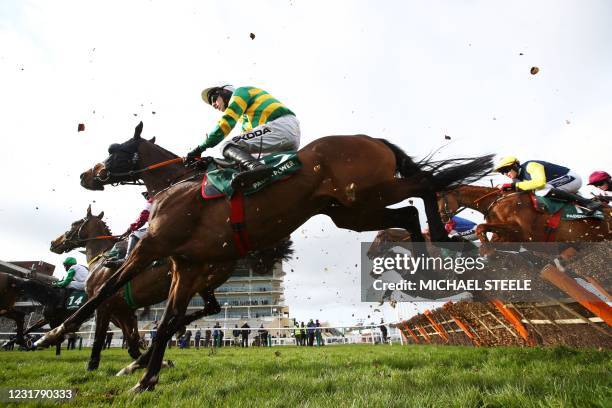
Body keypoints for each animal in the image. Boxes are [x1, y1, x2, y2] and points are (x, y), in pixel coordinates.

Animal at [39, 122, 492, 390]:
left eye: (114, 149)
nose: (88, 175)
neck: (178, 186)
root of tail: (370, 139)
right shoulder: (185, 268)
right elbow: (166, 322)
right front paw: (146, 378)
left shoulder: (153, 248)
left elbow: (106, 292)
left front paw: (52, 334)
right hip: (353, 210)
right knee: (409, 212)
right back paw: (430, 268)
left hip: (367, 193)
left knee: (425, 188)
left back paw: (440, 250)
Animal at [438, 184, 608, 244]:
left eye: (438, 197)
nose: (443, 219)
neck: (495, 203)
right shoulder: (505, 234)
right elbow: (487, 232)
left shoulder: (524, 232)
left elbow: (480, 227)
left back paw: (593, 205)